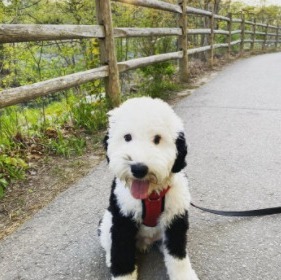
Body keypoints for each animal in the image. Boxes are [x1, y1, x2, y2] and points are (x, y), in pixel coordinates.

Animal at [97, 97, 198, 280]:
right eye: (127, 137)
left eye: (157, 139)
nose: (138, 169)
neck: (152, 195)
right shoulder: (122, 216)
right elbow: (121, 251)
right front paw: (123, 275)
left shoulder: (176, 217)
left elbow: (177, 254)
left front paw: (183, 275)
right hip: (107, 220)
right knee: (108, 244)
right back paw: (110, 260)